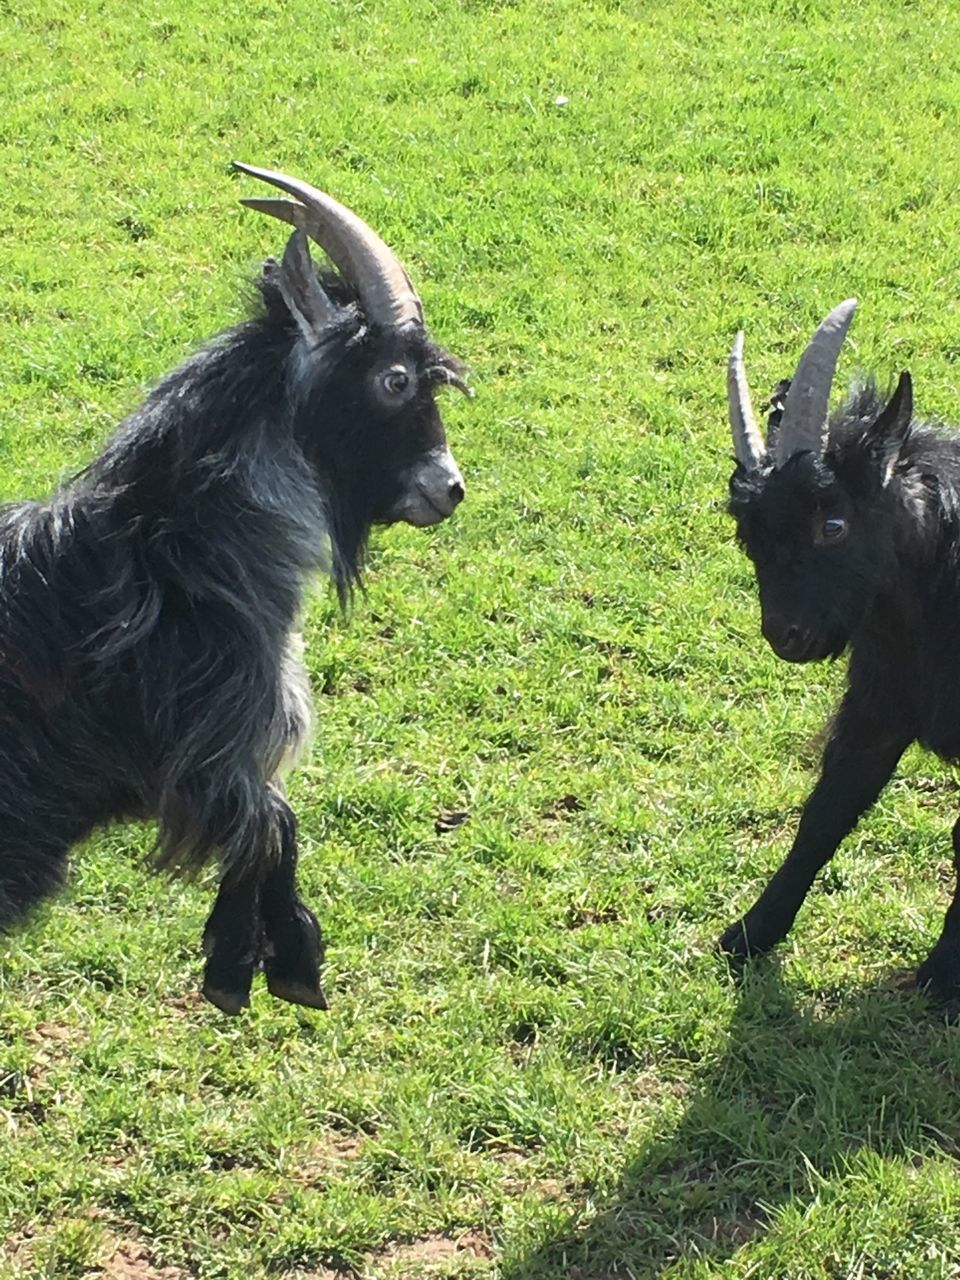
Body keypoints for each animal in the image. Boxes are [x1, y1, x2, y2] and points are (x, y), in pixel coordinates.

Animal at [0, 165, 471, 1013]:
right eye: (394, 380)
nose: (449, 488)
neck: (186, 559)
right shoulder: (207, 750)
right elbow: (272, 821)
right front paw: (265, 964)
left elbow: (274, 820)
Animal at [727, 299, 960, 998]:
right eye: (747, 534)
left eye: (833, 525)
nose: (785, 634)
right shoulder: (876, 709)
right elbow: (827, 811)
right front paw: (750, 933)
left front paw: (942, 978)